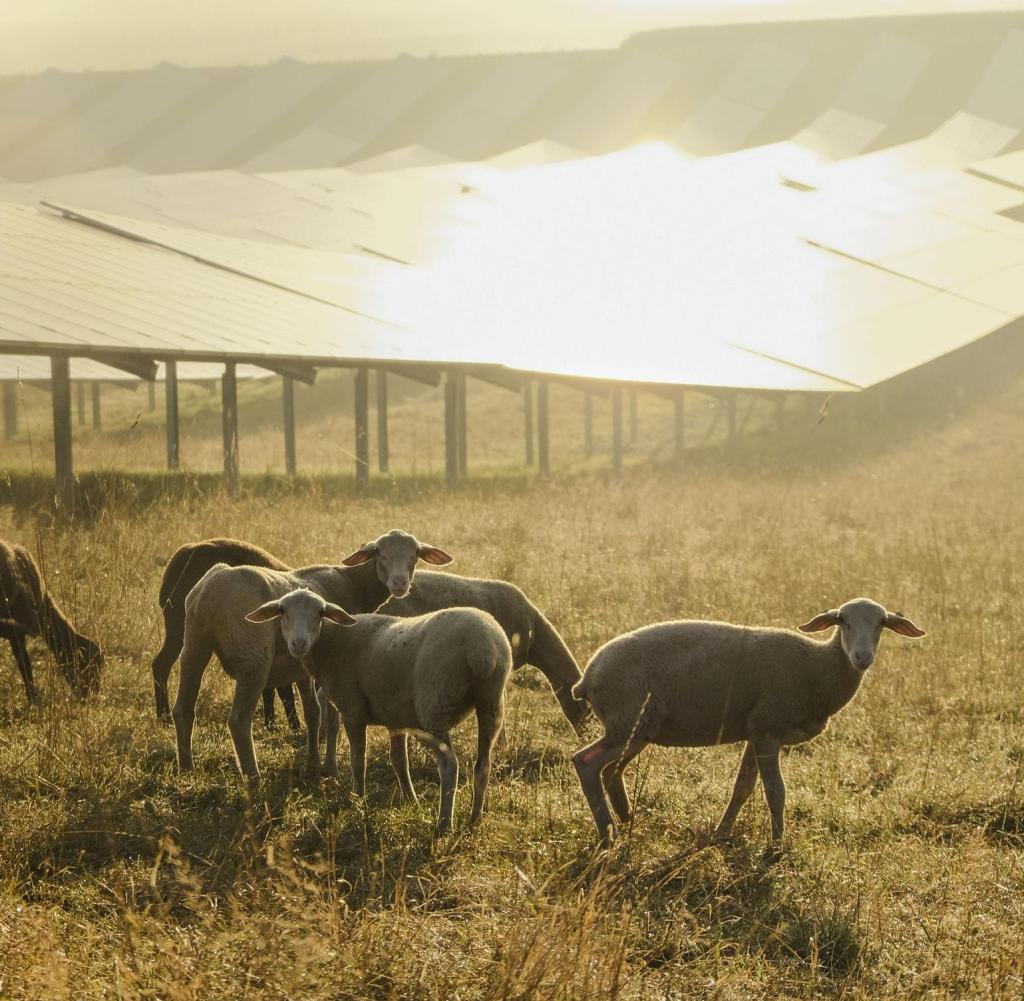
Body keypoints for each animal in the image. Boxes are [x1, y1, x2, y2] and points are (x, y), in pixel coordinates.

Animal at [172, 530, 453, 779]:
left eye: (415, 553)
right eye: (379, 553)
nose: (400, 583)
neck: (352, 584)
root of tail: (211, 591)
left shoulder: (303, 666)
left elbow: (312, 712)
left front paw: (313, 764)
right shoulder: (335, 661)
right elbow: (330, 717)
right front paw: (331, 767)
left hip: (194, 644)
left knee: (183, 709)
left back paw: (186, 769)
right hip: (253, 659)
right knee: (239, 721)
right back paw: (253, 778)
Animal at [245, 587, 512, 836]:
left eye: (320, 612)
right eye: (282, 611)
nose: (298, 644)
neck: (331, 643)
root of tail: (483, 648)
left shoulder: (353, 709)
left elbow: (358, 760)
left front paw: (358, 800)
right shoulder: (395, 717)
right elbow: (399, 761)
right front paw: (410, 800)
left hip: (435, 705)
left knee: (449, 765)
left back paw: (444, 824)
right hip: (490, 704)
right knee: (483, 765)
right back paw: (474, 820)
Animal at [570, 598, 926, 851]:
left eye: (882, 623)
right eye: (843, 621)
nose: (862, 658)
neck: (818, 667)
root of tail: (586, 678)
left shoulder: (755, 731)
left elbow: (742, 788)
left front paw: (721, 834)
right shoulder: (768, 729)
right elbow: (775, 791)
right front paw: (776, 848)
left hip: (638, 727)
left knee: (612, 772)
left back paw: (627, 819)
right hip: (627, 721)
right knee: (586, 762)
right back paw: (607, 834)